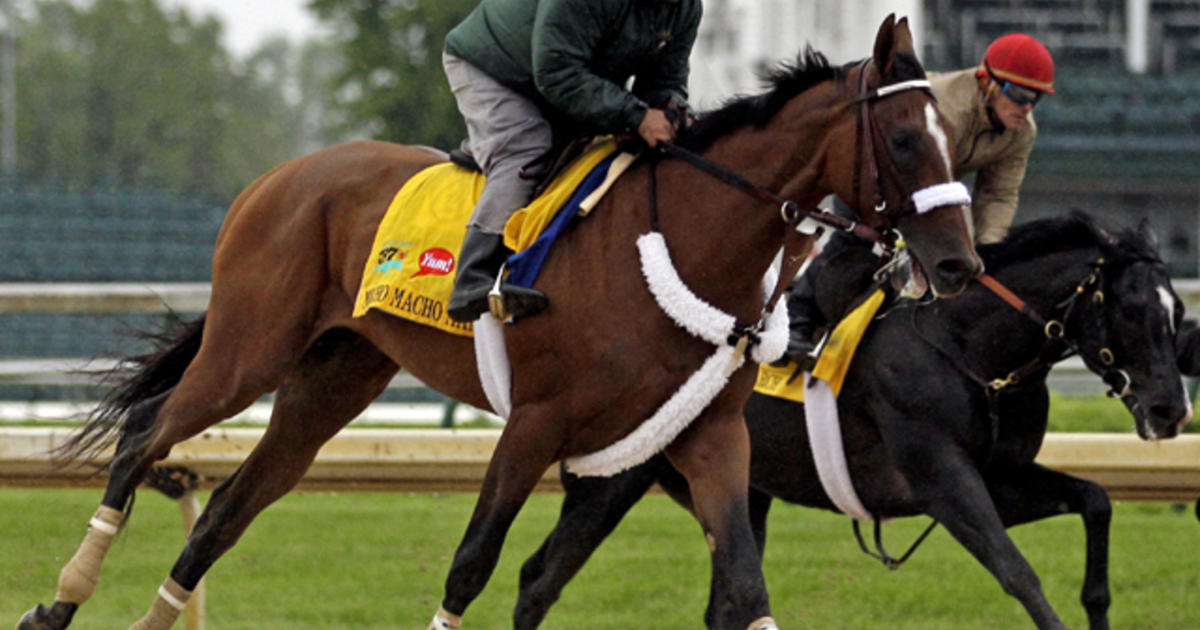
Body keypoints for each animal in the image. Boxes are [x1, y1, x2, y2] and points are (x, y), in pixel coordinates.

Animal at [18, 14, 979, 628]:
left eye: (956, 138)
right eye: (903, 140)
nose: (960, 266)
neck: (683, 238)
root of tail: (277, 177)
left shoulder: (708, 433)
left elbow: (743, 587)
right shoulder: (535, 422)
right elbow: (472, 562)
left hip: (333, 376)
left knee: (228, 507)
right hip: (250, 349)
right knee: (146, 431)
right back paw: (57, 601)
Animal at [511, 212, 1185, 628]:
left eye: (1177, 311)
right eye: (1129, 308)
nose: (1171, 410)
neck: (965, 348)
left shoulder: (1000, 475)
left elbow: (1096, 499)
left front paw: (1098, 604)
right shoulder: (943, 480)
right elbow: (1018, 572)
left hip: (740, 491)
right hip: (615, 478)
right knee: (537, 580)